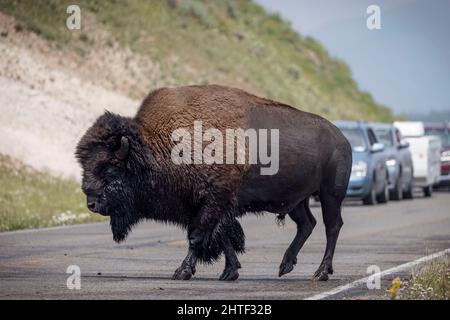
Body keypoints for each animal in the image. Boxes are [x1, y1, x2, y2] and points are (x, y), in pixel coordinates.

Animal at [76, 84, 352, 280]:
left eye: (111, 169)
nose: (91, 203)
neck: (158, 147)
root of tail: (342, 138)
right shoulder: (207, 207)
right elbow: (222, 238)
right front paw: (230, 271)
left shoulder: (212, 202)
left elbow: (198, 236)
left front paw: (182, 271)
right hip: (297, 201)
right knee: (307, 224)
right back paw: (285, 266)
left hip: (330, 195)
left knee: (332, 226)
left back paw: (320, 272)